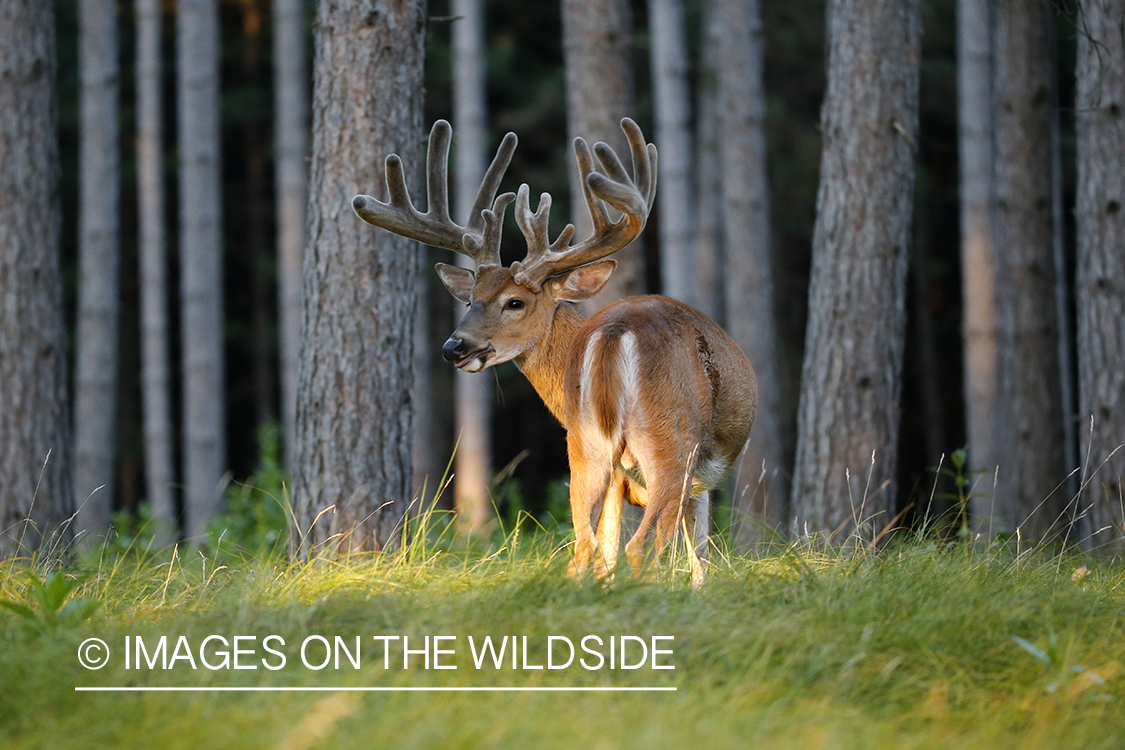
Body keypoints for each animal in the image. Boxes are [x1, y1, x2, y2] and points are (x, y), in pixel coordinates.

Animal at [351, 117, 756, 589]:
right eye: (470, 298)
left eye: (514, 302)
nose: (455, 347)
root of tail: (614, 333)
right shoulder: (698, 478)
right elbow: (698, 558)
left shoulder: (621, 475)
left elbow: (614, 548)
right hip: (671, 441)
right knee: (643, 546)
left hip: (584, 448)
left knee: (584, 548)